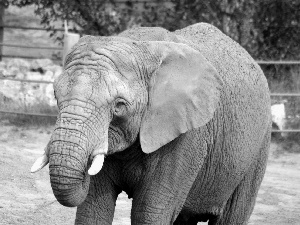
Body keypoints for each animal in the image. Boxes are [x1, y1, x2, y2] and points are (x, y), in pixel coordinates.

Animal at [31, 23, 272, 225]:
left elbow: (149, 212)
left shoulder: (186, 137)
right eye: (55, 96)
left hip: (258, 148)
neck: (140, 46)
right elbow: (93, 209)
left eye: (119, 106)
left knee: (232, 215)